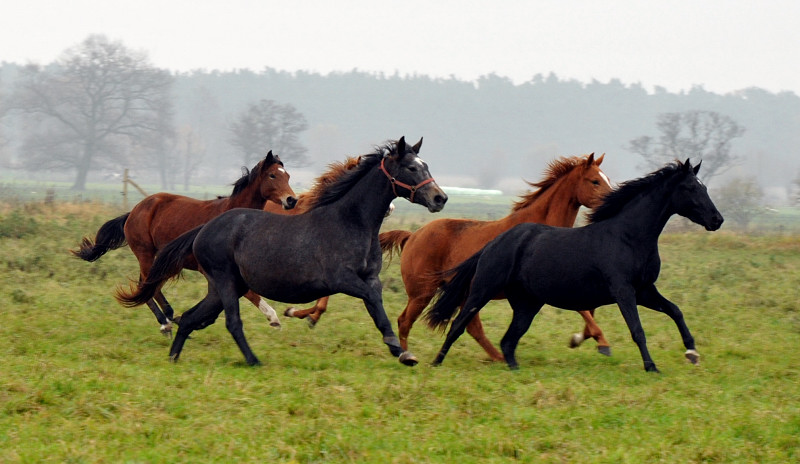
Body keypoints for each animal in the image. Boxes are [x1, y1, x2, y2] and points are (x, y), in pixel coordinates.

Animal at [72, 152, 296, 334]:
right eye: (272, 175)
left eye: (287, 175)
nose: (291, 200)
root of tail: (134, 211)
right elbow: (244, 293)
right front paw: (273, 318)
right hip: (145, 253)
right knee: (147, 285)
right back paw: (166, 320)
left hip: (161, 259)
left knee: (147, 285)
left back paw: (167, 320)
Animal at [117, 138, 450, 366]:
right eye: (411, 167)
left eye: (426, 166)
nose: (440, 198)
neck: (350, 221)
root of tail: (203, 229)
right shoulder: (343, 280)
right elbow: (371, 302)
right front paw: (399, 348)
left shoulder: (369, 279)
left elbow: (377, 309)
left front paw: (402, 352)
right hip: (224, 281)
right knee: (229, 321)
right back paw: (253, 360)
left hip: (224, 287)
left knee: (190, 318)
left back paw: (174, 356)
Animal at [378, 154, 616, 364]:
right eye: (595, 181)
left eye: (607, 179)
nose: (613, 203)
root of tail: (412, 236)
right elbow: (583, 309)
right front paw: (600, 342)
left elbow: (588, 308)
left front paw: (581, 338)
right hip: (422, 293)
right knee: (405, 321)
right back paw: (407, 357)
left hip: (463, 293)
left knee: (472, 327)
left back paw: (498, 358)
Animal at [424, 160, 724, 374]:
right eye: (691, 188)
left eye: (705, 187)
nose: (717, 219)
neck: (629, 237)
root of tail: (494, 243)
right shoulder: (624, 291)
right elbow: (637, 330)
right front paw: (651, 367)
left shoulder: (644, 290)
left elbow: (675, 311)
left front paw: (692, 353)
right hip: (483, 290)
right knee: (459, 324)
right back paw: (436, 363)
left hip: (527, 303)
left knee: (508, 340)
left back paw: (515, 369)